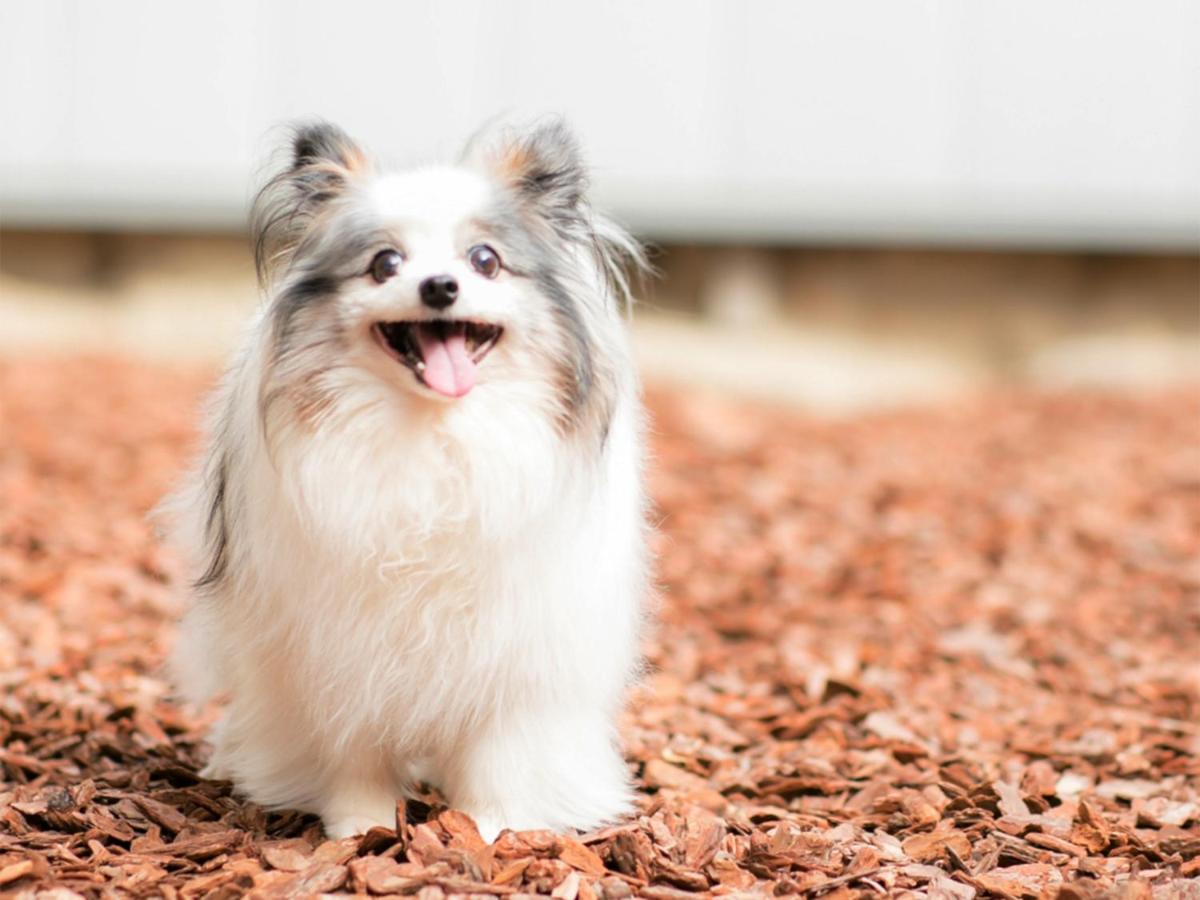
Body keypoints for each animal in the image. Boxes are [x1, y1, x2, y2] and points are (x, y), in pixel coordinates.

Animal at [162, 120, 648, 844]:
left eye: (485, 260)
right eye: (385, 264)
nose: (440, 286)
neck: (434, 437)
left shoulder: (516, 647)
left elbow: (499, 751)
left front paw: (489, 827)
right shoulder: (337, 645)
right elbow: (352, 746)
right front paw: (358, 826)